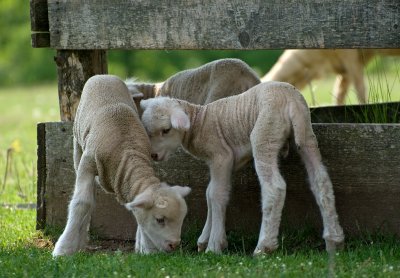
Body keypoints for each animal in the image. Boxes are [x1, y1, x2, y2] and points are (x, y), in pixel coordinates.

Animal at [51, 74, 191, 256]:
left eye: (182, 219)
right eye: (159, 220)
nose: (174, 245)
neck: (127, 150)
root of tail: (104, 76)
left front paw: (143, 247)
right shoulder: (87, 163)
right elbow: (81, 203)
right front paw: (64, 248)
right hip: (78, 145)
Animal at [140, 81, 344, 255]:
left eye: (166, 130)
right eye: (147, 132)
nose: (153, 156)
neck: (200, 121)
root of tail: (290, 100)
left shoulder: (221, 156)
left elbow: (217, 195)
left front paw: (214, 246)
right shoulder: (221, 164)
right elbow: (209, 193)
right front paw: (205, 239)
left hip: (265, 134)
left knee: (275, 188)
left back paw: (264, 246)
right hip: (306, 135)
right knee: (321, 181)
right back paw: (334, 240)